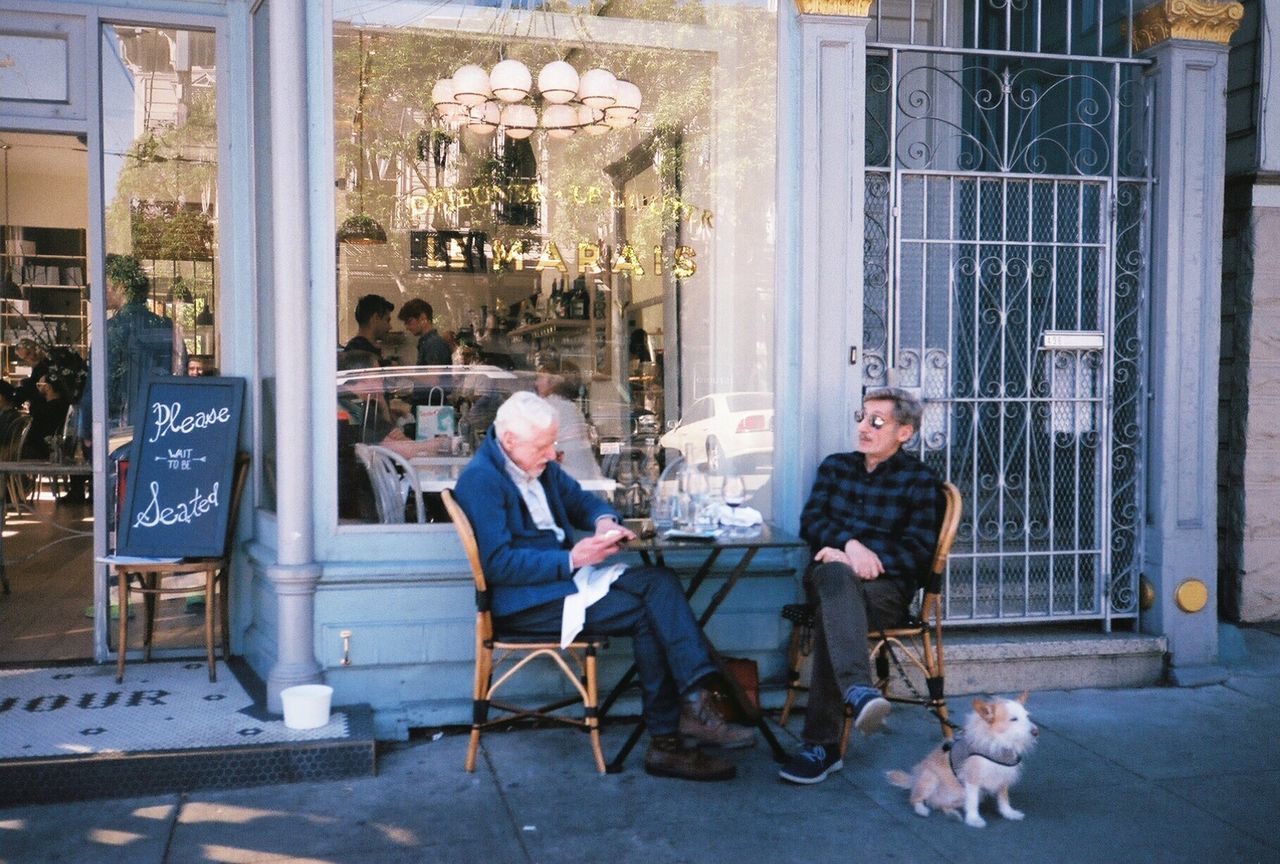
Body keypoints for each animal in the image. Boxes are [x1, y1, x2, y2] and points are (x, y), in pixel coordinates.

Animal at [890, 691, 1039, 829]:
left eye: (1027, 716)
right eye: (1013, 719)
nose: (1036, 732)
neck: (999, 743)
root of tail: (914, 779)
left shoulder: (1003, 775)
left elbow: (1004, 798)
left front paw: (1008, 813)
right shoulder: (972, 778)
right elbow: (972, 802)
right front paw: (974, 819)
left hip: (958, 796)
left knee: (939, 804)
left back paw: (952, 814)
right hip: (930, 779)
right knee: (916, 799)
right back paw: (921, 809)